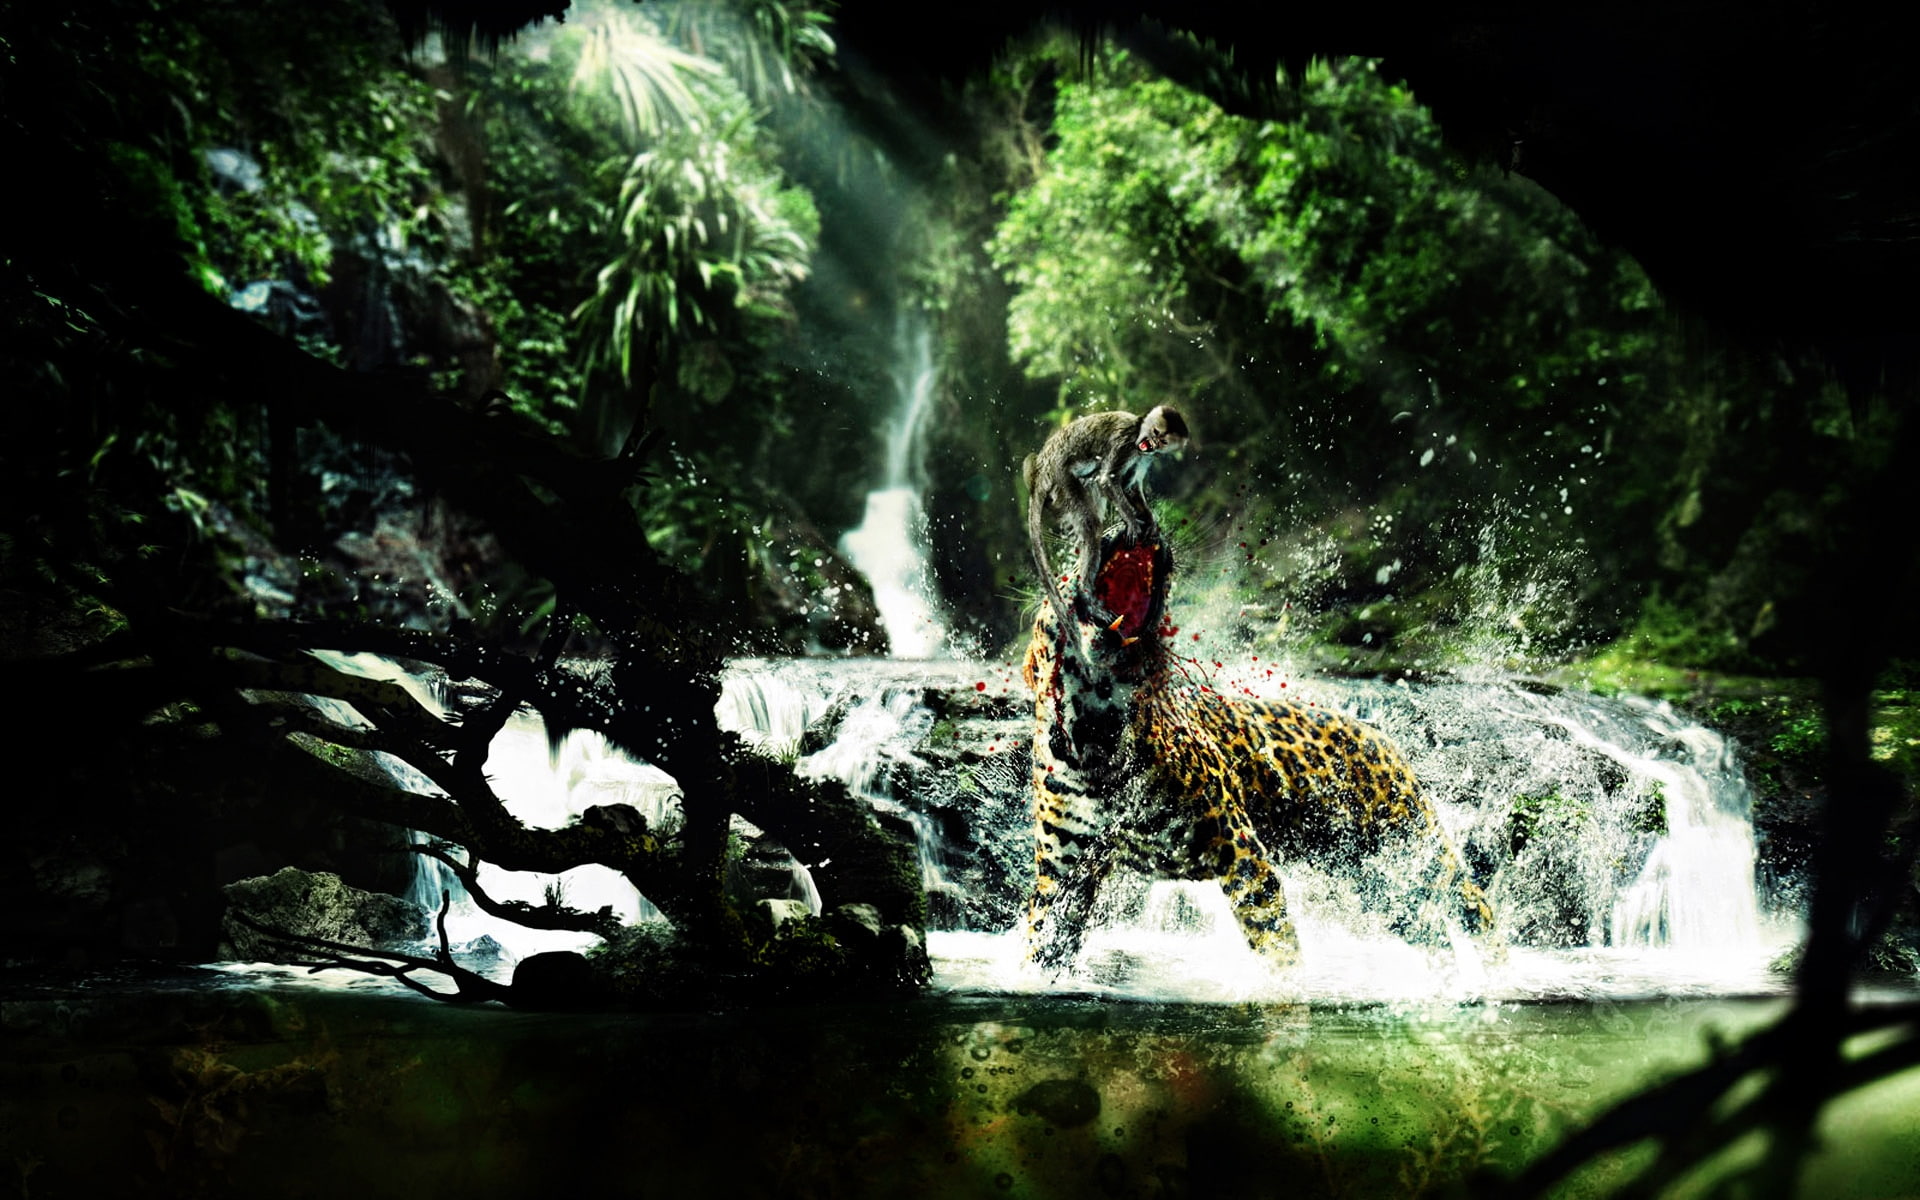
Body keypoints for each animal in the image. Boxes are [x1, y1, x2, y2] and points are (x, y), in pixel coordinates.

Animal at [1023, 405, 1190, 634]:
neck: (1138, 428)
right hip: (1060, 475)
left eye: (1163, 441)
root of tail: (1041, 468)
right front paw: (1132, 521)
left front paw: (1150, 522)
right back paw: (1087, 596)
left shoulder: (1145, 456)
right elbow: (1107, 481)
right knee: (1092, 523)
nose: (1150, 443)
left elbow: (1129, 486)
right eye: (1155, 432)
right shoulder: (1126, 441)